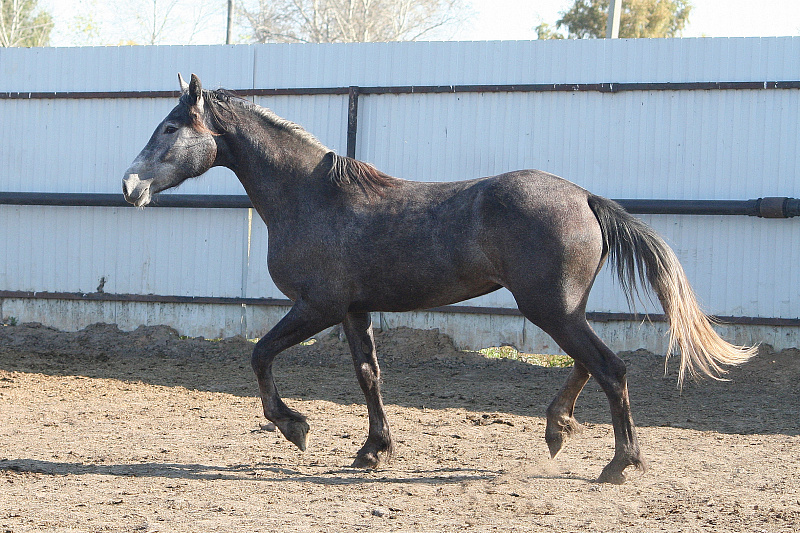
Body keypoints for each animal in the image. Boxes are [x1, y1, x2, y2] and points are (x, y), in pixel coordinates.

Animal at [123, 74, 755, 484]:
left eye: (172, 128)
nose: (130, 186)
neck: (309, 197)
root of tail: (585, 197)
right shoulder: (352, 310)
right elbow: (368, 376)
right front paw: (373, 451)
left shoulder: (316, 306)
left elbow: (260, 354)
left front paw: (295, 427)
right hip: (560, 307)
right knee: (589, 363)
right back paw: (558, 429)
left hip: (548, 308)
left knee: (611, 368)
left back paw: (621, 464)